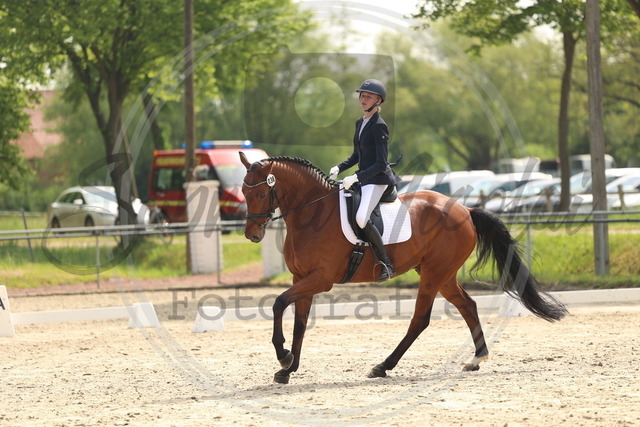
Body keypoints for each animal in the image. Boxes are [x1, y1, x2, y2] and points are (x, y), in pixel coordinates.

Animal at [239, 152, 568, 384]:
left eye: (261, 193)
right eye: (244, 192)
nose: (252, 236)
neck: (313, 214)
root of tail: (465, 209)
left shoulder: (320, 279)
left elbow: (279, 303)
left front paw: (283, 356)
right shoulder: (302, 278)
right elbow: (300, 322)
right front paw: (289, 368)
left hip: (434, 274)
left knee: (420, 320)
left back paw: (383, 366)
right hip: (441, 274)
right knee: (468, 306)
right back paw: (476, 359)